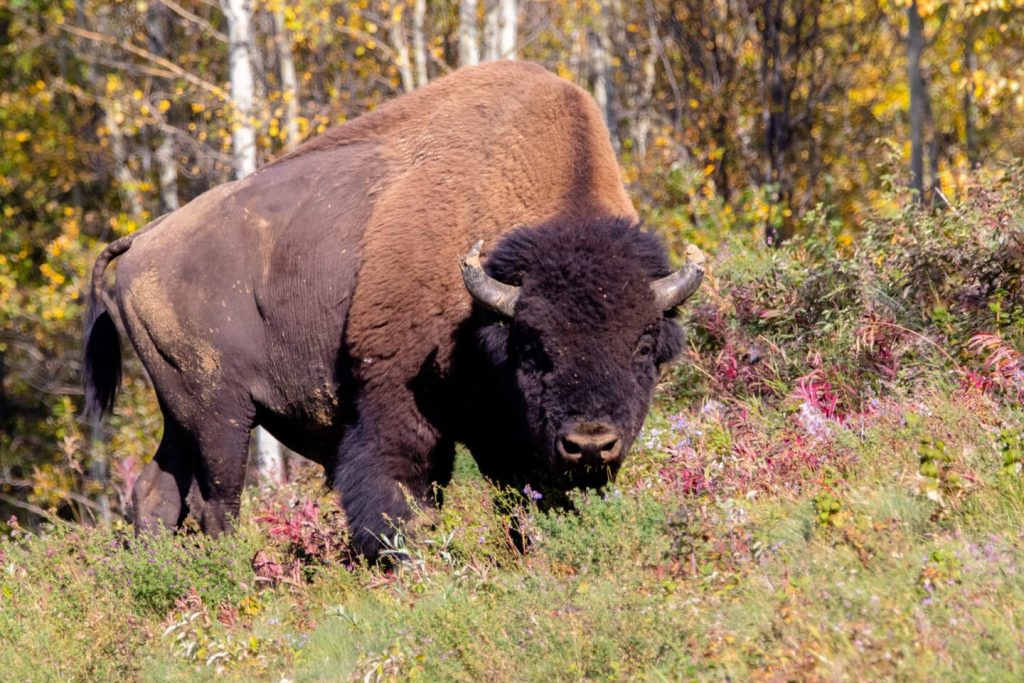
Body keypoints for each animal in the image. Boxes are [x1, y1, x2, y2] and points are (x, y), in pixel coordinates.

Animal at [83, 60, 704, 561]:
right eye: (532, 347)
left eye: (643, 344)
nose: (590, 443)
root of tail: (142, 241)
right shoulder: (400, 398)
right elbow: (401, 496)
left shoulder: (505, 434)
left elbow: (519, 502)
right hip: (221, 415)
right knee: (217, 502)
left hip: (180, 414)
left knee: (157, 493)